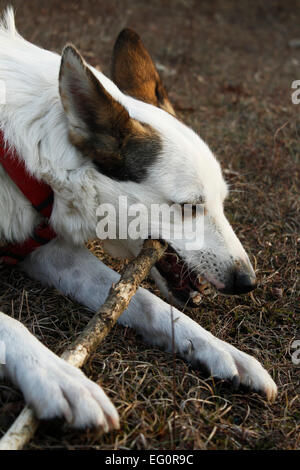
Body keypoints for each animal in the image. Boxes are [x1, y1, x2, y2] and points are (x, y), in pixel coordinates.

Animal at [0, 8, 276, 434]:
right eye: (190, 206)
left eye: (221, 202)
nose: (247, 282)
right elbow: (8, 325)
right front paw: (55, 375)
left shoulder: (48, 251)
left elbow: (148, 302)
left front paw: (221, 351)